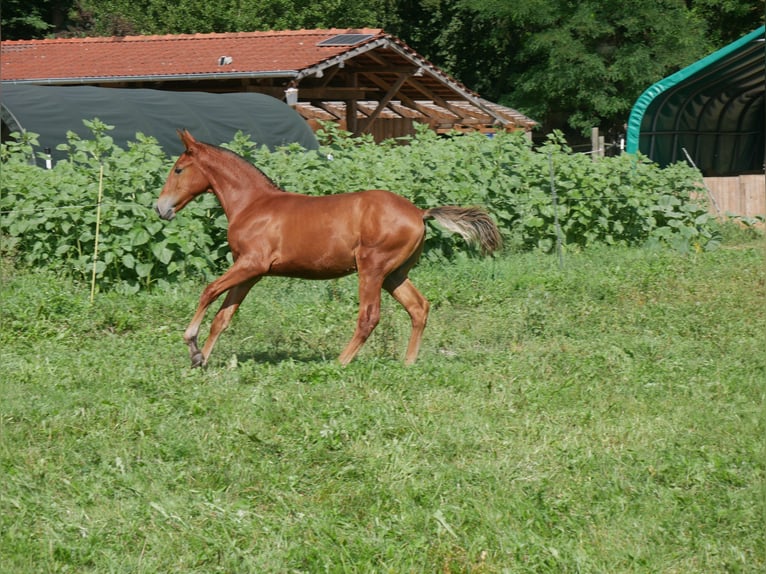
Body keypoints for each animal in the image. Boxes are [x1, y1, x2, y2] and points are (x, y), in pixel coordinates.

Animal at [155, 130, 501, 368]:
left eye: (178, 170)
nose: (160, 208)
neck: (253, 204)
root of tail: (419, 212)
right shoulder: (251, 272)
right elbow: (223, 317)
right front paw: (200, 360)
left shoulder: (252, 264)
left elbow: (208, 291)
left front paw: (191, 344)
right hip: (394, 275)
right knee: (419, 307)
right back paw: (408, 363)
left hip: (371, 269)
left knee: (369, 316)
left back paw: (341, 362)